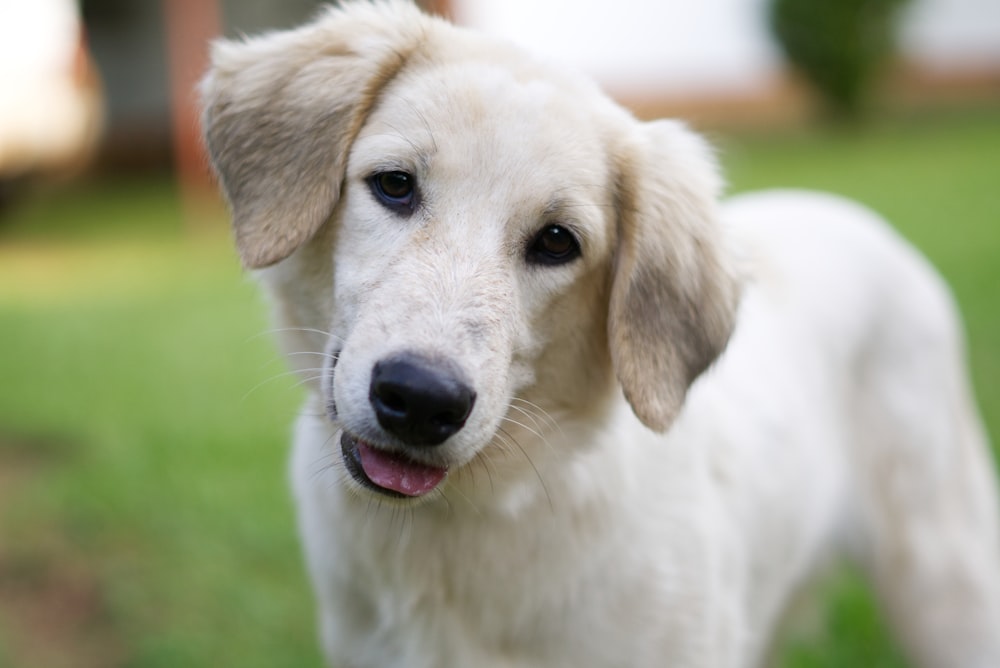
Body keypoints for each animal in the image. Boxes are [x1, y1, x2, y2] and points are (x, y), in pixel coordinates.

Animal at [197, 2, 1000, 664]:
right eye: (394, 185)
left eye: (557, 242)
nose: (422, 401)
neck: (454, 530)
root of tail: (849, 212)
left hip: (947, 588)